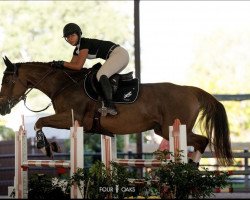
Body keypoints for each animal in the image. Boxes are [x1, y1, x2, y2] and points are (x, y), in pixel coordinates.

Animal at [0, 56, 234, 166]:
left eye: (8, 81)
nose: (2, 108)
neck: (64, 85)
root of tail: (191, 90)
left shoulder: (72, 118)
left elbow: (40, 121)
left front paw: (45, 147)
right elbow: (42, 121)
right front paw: (52, 146)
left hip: (173, 128)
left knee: (202, 141)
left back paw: (192, 167)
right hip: (162, 130)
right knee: (201, 141)